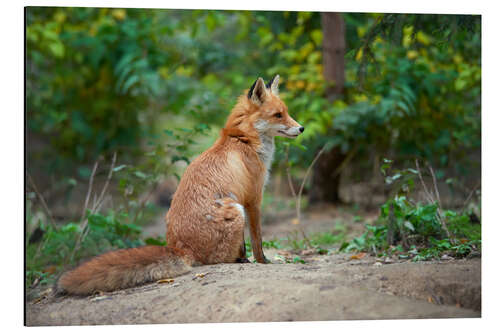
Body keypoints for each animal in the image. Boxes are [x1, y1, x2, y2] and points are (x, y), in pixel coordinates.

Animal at [56, 74, 302, 294]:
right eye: (278, 115)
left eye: (287, 113)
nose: (301, 128)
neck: (244, 140)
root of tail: (181, 247)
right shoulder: (252, 199)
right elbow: (257, 240)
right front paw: (263, 262)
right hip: (236, 210)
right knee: (223, 258)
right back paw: (240, 261)